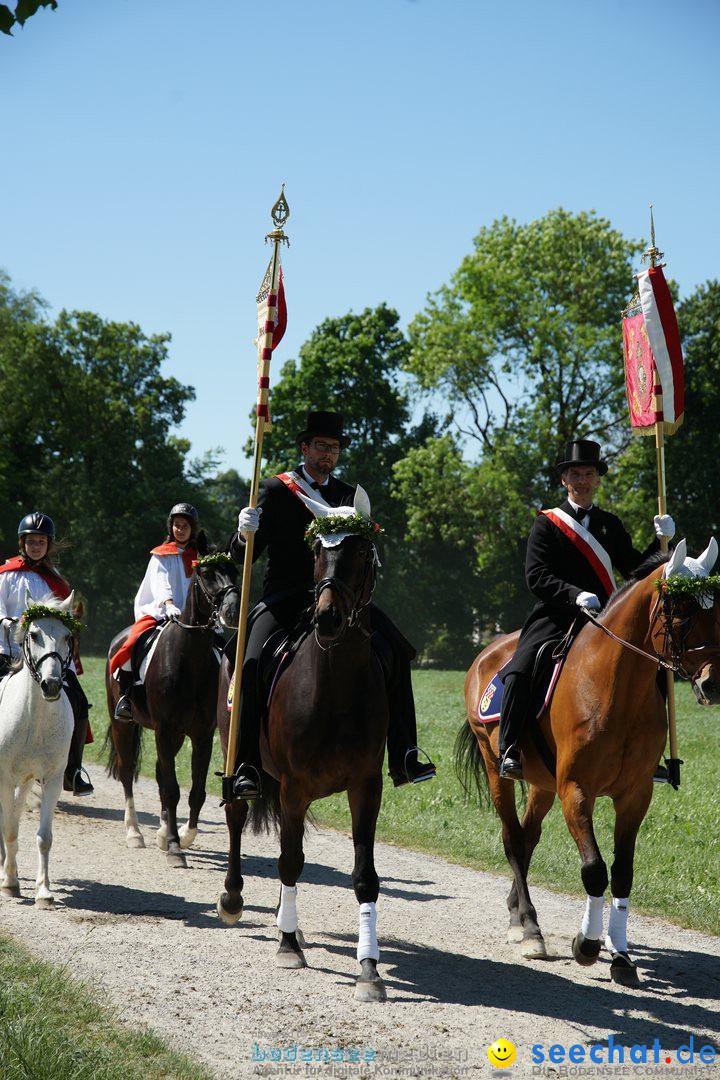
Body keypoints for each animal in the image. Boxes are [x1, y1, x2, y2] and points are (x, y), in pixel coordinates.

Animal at [104, 548, 239, 868]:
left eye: (234, 571)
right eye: (206, 574)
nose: (231, 610)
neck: (188, 660)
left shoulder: (201, 735)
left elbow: (195, 791)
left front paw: (182, 836)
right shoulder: (163, 730)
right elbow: (172, 789)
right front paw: (176, 847)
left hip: (175, 736)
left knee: (159, 773)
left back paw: (163, 832)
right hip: (123, 724)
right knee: (127, 771)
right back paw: (135, 833)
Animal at [216, 509, 390, 997]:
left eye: (360, 552)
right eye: (316, 550)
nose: (328, 617)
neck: (334, 682)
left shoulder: (365, 787)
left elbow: (364, 876)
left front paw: (368, 968)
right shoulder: (294, 787)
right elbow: (290, 860)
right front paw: (289, 946)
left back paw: (281, 917)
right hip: (240, 758)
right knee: (237, 817)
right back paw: (234, 898)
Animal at [459, 540, 720, 989]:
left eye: (716, 609)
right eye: (681, 609)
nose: (713, 684)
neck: (617, 686)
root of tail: (486, 654)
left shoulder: (635, 795)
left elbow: (623, 872)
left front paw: (622, 955)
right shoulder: (576, 790)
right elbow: (595, 869)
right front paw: (588, 944)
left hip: (542, 783)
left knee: (527, 839)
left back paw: (517, 915)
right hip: (498, 771)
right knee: (512, 838)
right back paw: (530, 927)